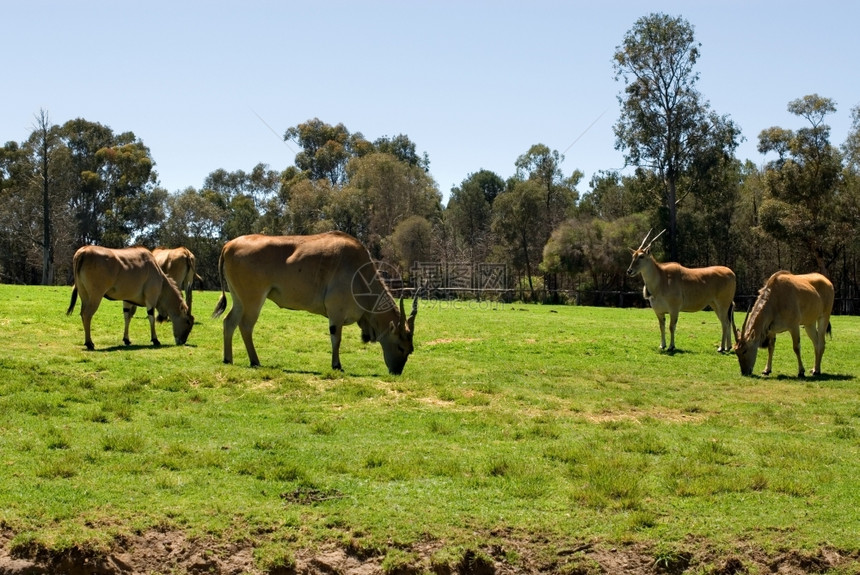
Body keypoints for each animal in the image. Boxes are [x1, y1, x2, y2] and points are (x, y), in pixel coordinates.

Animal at [213, 232, 418, 376]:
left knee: (229, 322)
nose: (396, 372)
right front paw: (337, 365)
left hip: (239, 300)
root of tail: (229, 245)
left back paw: (228, 359)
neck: (360, 273)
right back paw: (255, 361)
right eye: (401, 347)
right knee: (245, 325)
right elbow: (336, 339)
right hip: (253, 300)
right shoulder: (336, 313)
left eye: (410, 350)